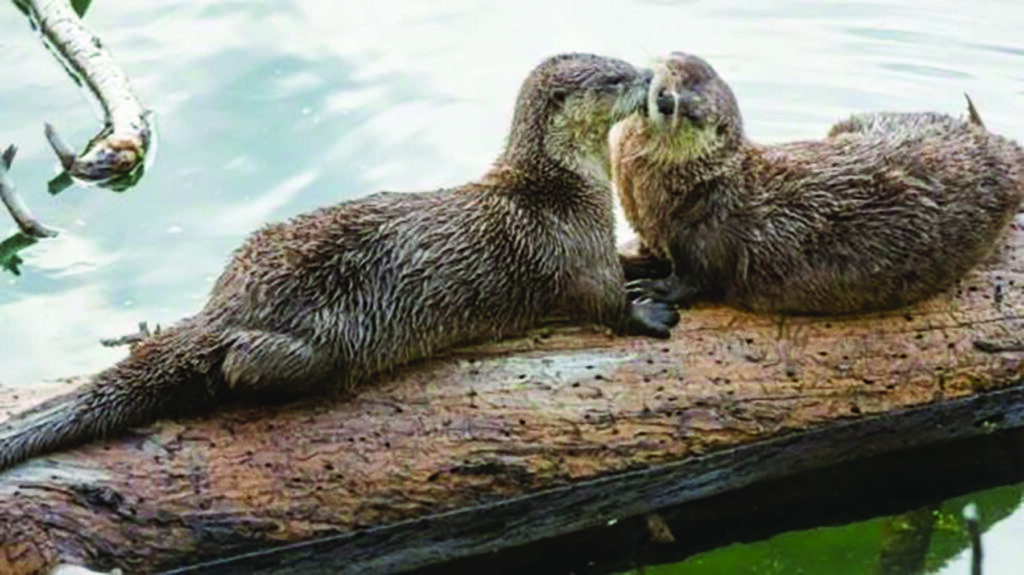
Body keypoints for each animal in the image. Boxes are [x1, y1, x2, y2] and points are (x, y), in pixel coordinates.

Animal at [0, 53, 678, 472]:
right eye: (614, 77)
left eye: (625, 63)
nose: (652, 78)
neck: (563, 185)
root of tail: (226, 306)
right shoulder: (570, 245)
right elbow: (602, 301)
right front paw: (649, 312)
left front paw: (652, 268)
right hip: (315, 343)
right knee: (244, 365)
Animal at [611, 51, 1024, 314]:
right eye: (673, 76)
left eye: (693, 115)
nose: (666, 101)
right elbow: (648, 255)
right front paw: (628, 264)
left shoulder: (709, 236)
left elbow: (697, 279)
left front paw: (652, 289)